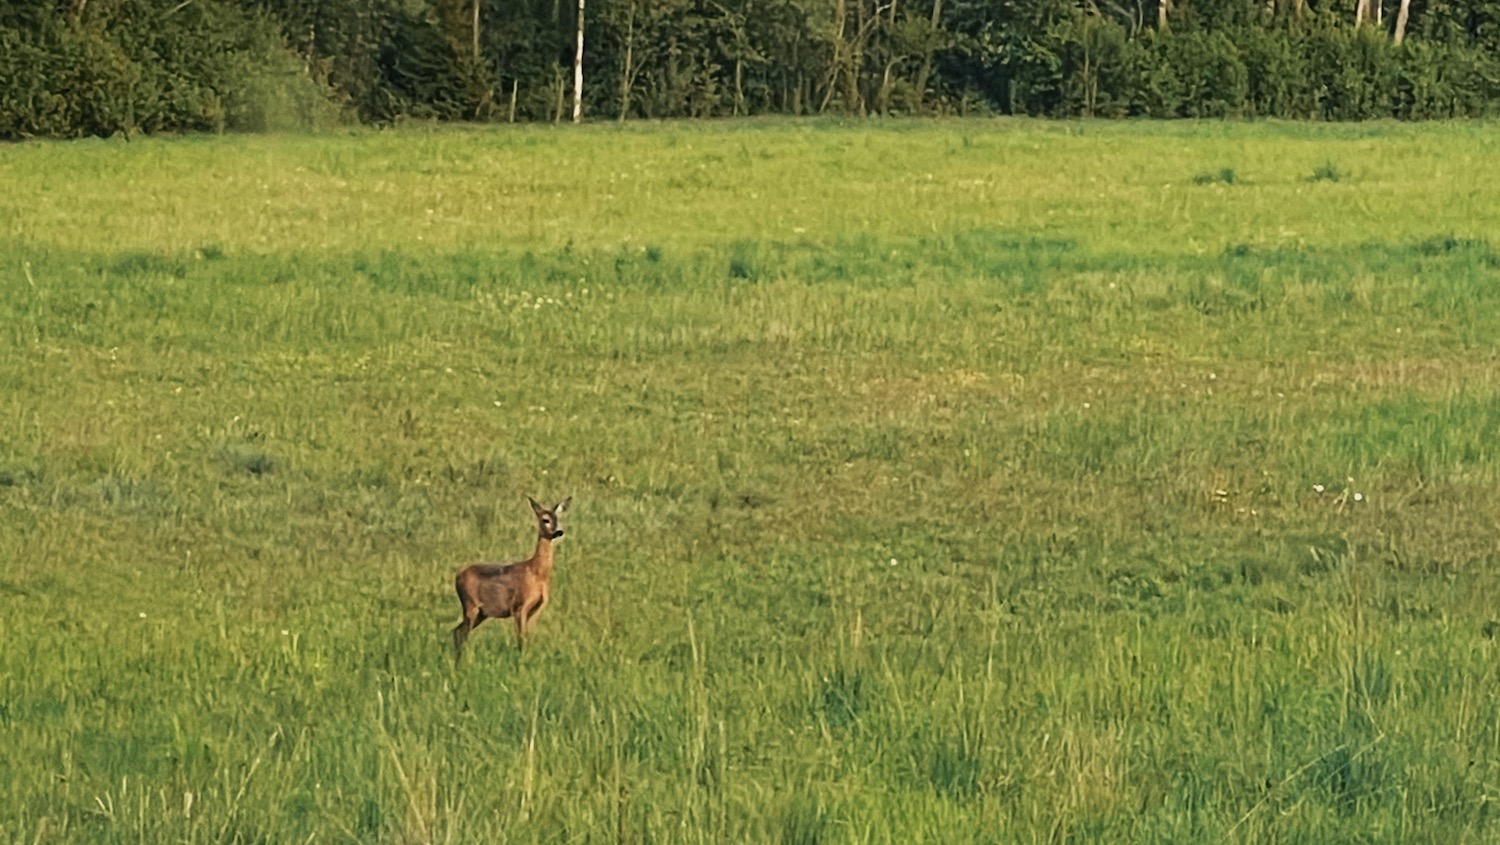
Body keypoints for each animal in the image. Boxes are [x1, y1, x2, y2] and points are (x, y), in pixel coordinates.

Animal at [450, 495, 567, 660]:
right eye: (545, 520)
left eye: (559, 518)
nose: (559, 531)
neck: (536, 572)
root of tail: (457, 577)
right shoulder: (519, 606)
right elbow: (520, 640)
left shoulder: (537, 609)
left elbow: (527, 638)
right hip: (470, 605)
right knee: (461, 633)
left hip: (482, 613)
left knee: (457, 631)